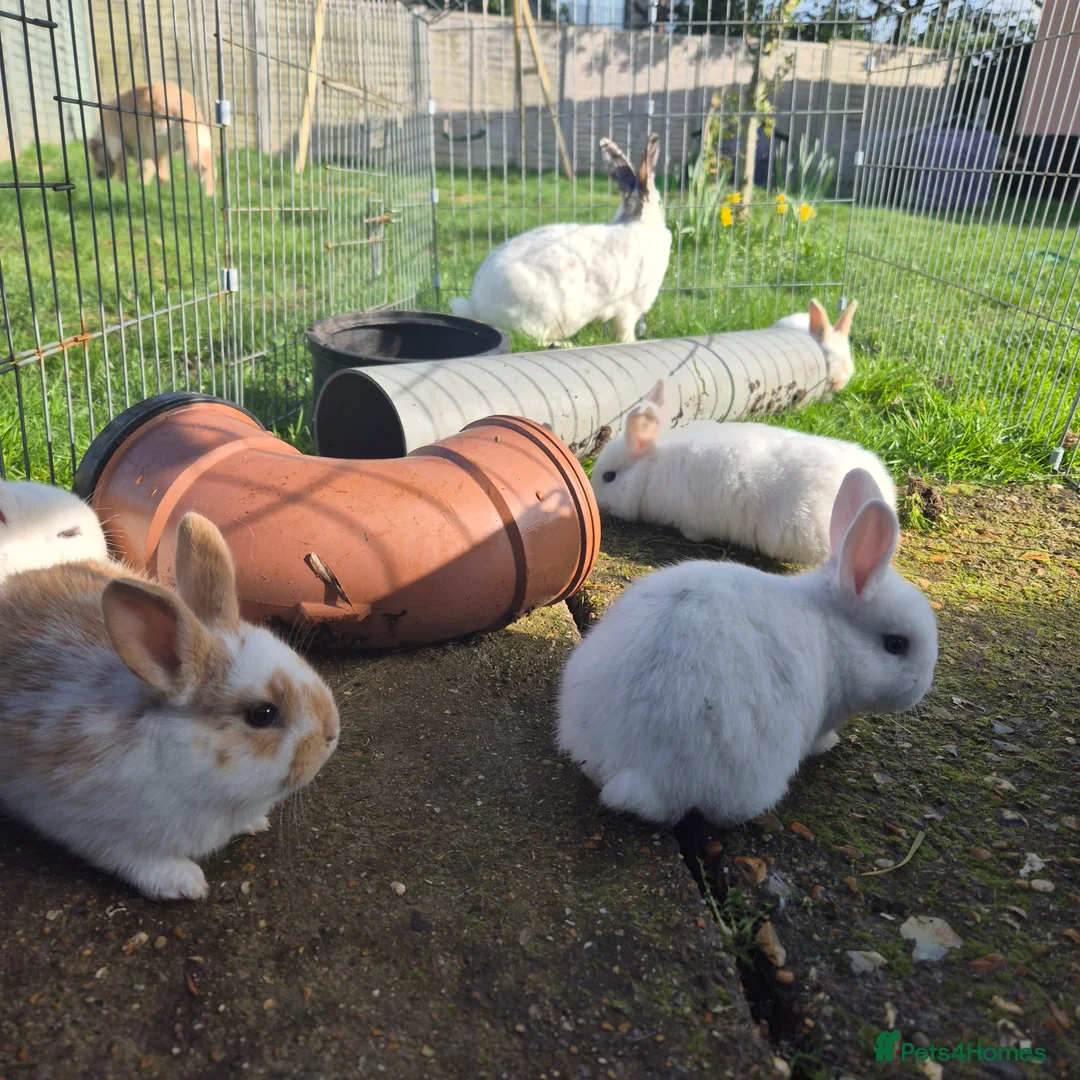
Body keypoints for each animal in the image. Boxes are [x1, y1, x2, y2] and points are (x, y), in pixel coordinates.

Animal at [0, 512, 339, 901]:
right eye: (262, 714)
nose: (332, 733)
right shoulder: (88, 825)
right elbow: (133, 859)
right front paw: (185, 883)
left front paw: (256, 823)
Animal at [450, 135, 672, 346]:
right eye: (660, 201)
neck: (638, 223)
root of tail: (477, 309)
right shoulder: (628, 309)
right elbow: (624, 332)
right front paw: (633, 342)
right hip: (539, 314)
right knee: (531, 340)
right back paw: (564, 344)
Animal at [591, 379, 895, 565]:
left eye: (609, 477)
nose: (596, 500)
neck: (651, 468)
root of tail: (885, 495)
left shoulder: (692, 517)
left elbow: (693, 532)